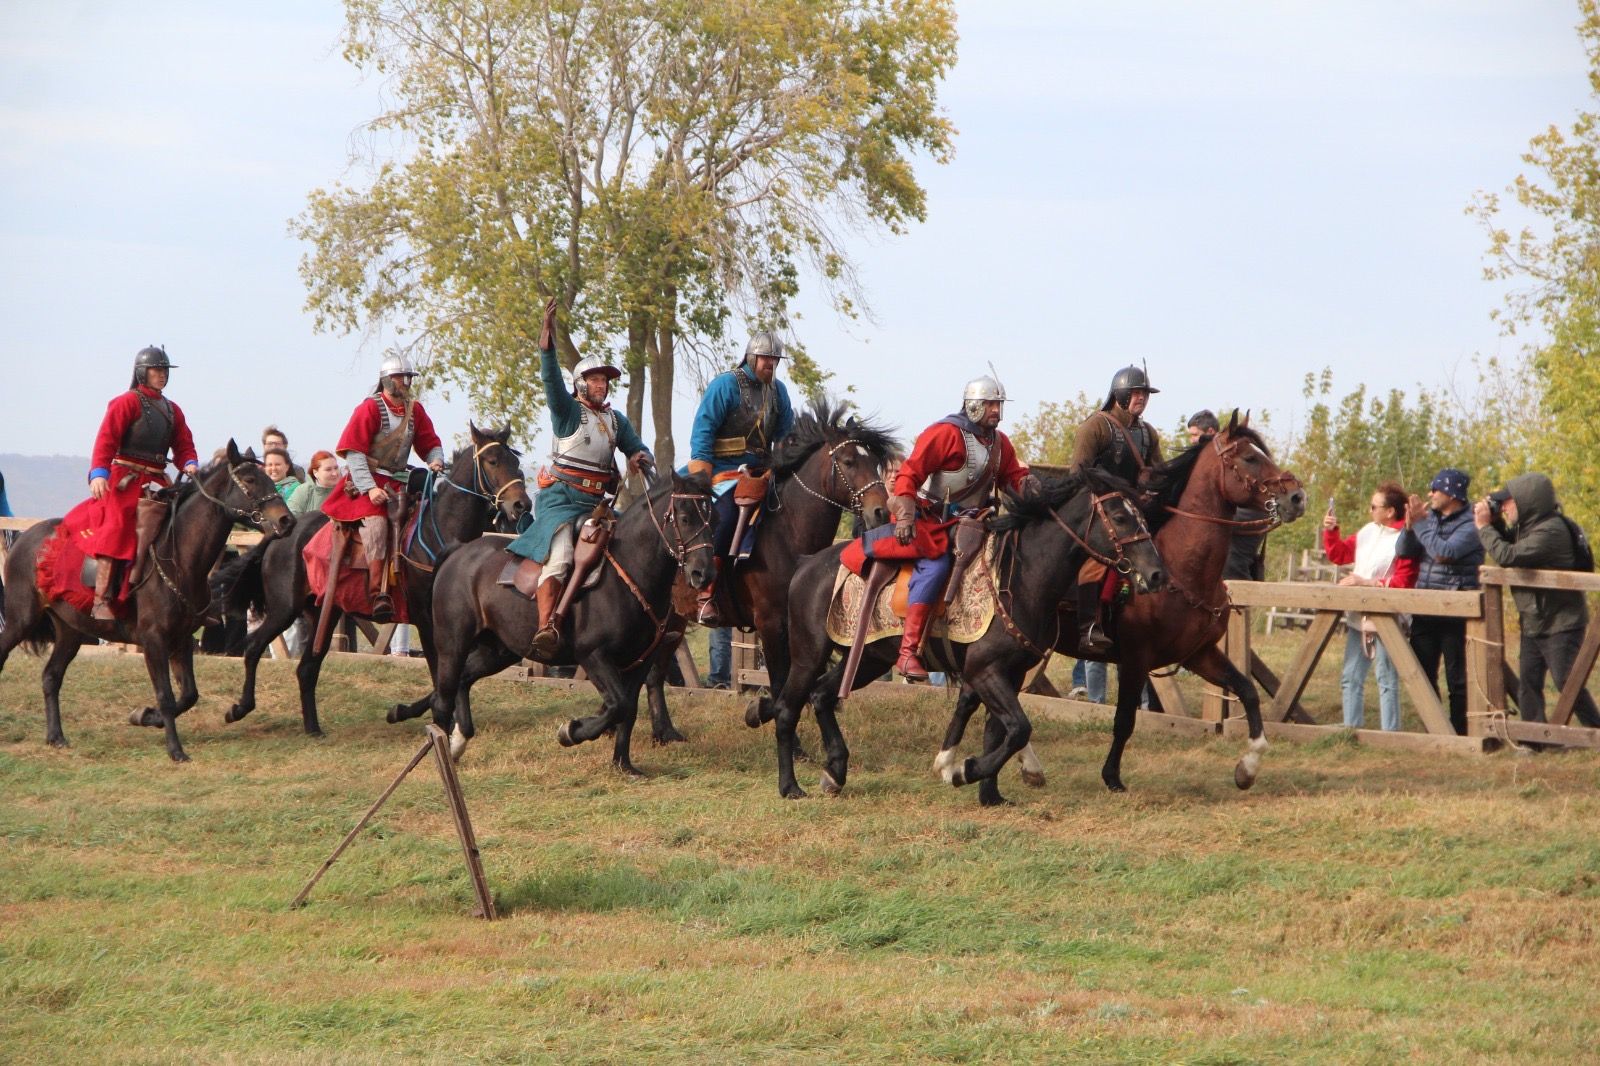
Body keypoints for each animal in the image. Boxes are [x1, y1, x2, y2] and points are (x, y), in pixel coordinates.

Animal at [0, 435, 294, 758]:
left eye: (271, 478)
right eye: (251, 480)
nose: (286, 521)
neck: (178, 558)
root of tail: (26, 540)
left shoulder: (181, 640)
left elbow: (188, 695)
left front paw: (146, 716)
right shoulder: (154, 640)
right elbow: (166, 695)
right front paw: (175, 750)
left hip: (70, 630)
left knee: (51, 676)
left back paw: (56, 736)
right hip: (21, 620)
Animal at [206, 419, 528, 736]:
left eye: (515, 462)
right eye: (492, 460)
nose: (521, 505)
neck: (438, 532)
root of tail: (282, 531)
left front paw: (408, 713)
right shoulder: (429, 620)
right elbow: (441, 675)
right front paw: (433, 722)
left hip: (324, 613)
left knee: (307, 667)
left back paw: (313, 728)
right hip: (285, 609)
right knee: (254, 647)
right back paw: (239, 708)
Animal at [428, 470, 723, 768]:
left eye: (713, 520)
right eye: (684, 518)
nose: (704, 574)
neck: (630, 573)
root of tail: (459, 552)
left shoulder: (641, 660)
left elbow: (628, 709)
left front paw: (623, 765)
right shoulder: (593, 655)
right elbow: (619, 705)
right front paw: (571, 732)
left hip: (499, 651)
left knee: (464, 679)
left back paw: (459, 740)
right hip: (452, 645)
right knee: (442, 699)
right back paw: (443, 753)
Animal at [761, 464, 1164, 797]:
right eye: (1119, 517)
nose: (1156, 573)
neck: (1022, 577)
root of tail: (807, 565)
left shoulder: (1011, 672)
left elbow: (999, 730)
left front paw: (990, 793)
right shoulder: (985, 671)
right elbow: (1018, 727)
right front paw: (964, 771)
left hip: (868, 660)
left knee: (822, 696)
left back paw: (835, 772)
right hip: (808, 654)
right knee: (786, 709)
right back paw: (790, 786)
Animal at [934, 409, 1299, 793]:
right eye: (1250, 458)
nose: (1296, 497)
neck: (1183, 568)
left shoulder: (1199, 654)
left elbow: (1248, 691)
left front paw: (1248, 767)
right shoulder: (1136, 659)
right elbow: (1125, 719)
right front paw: (1112, 776)